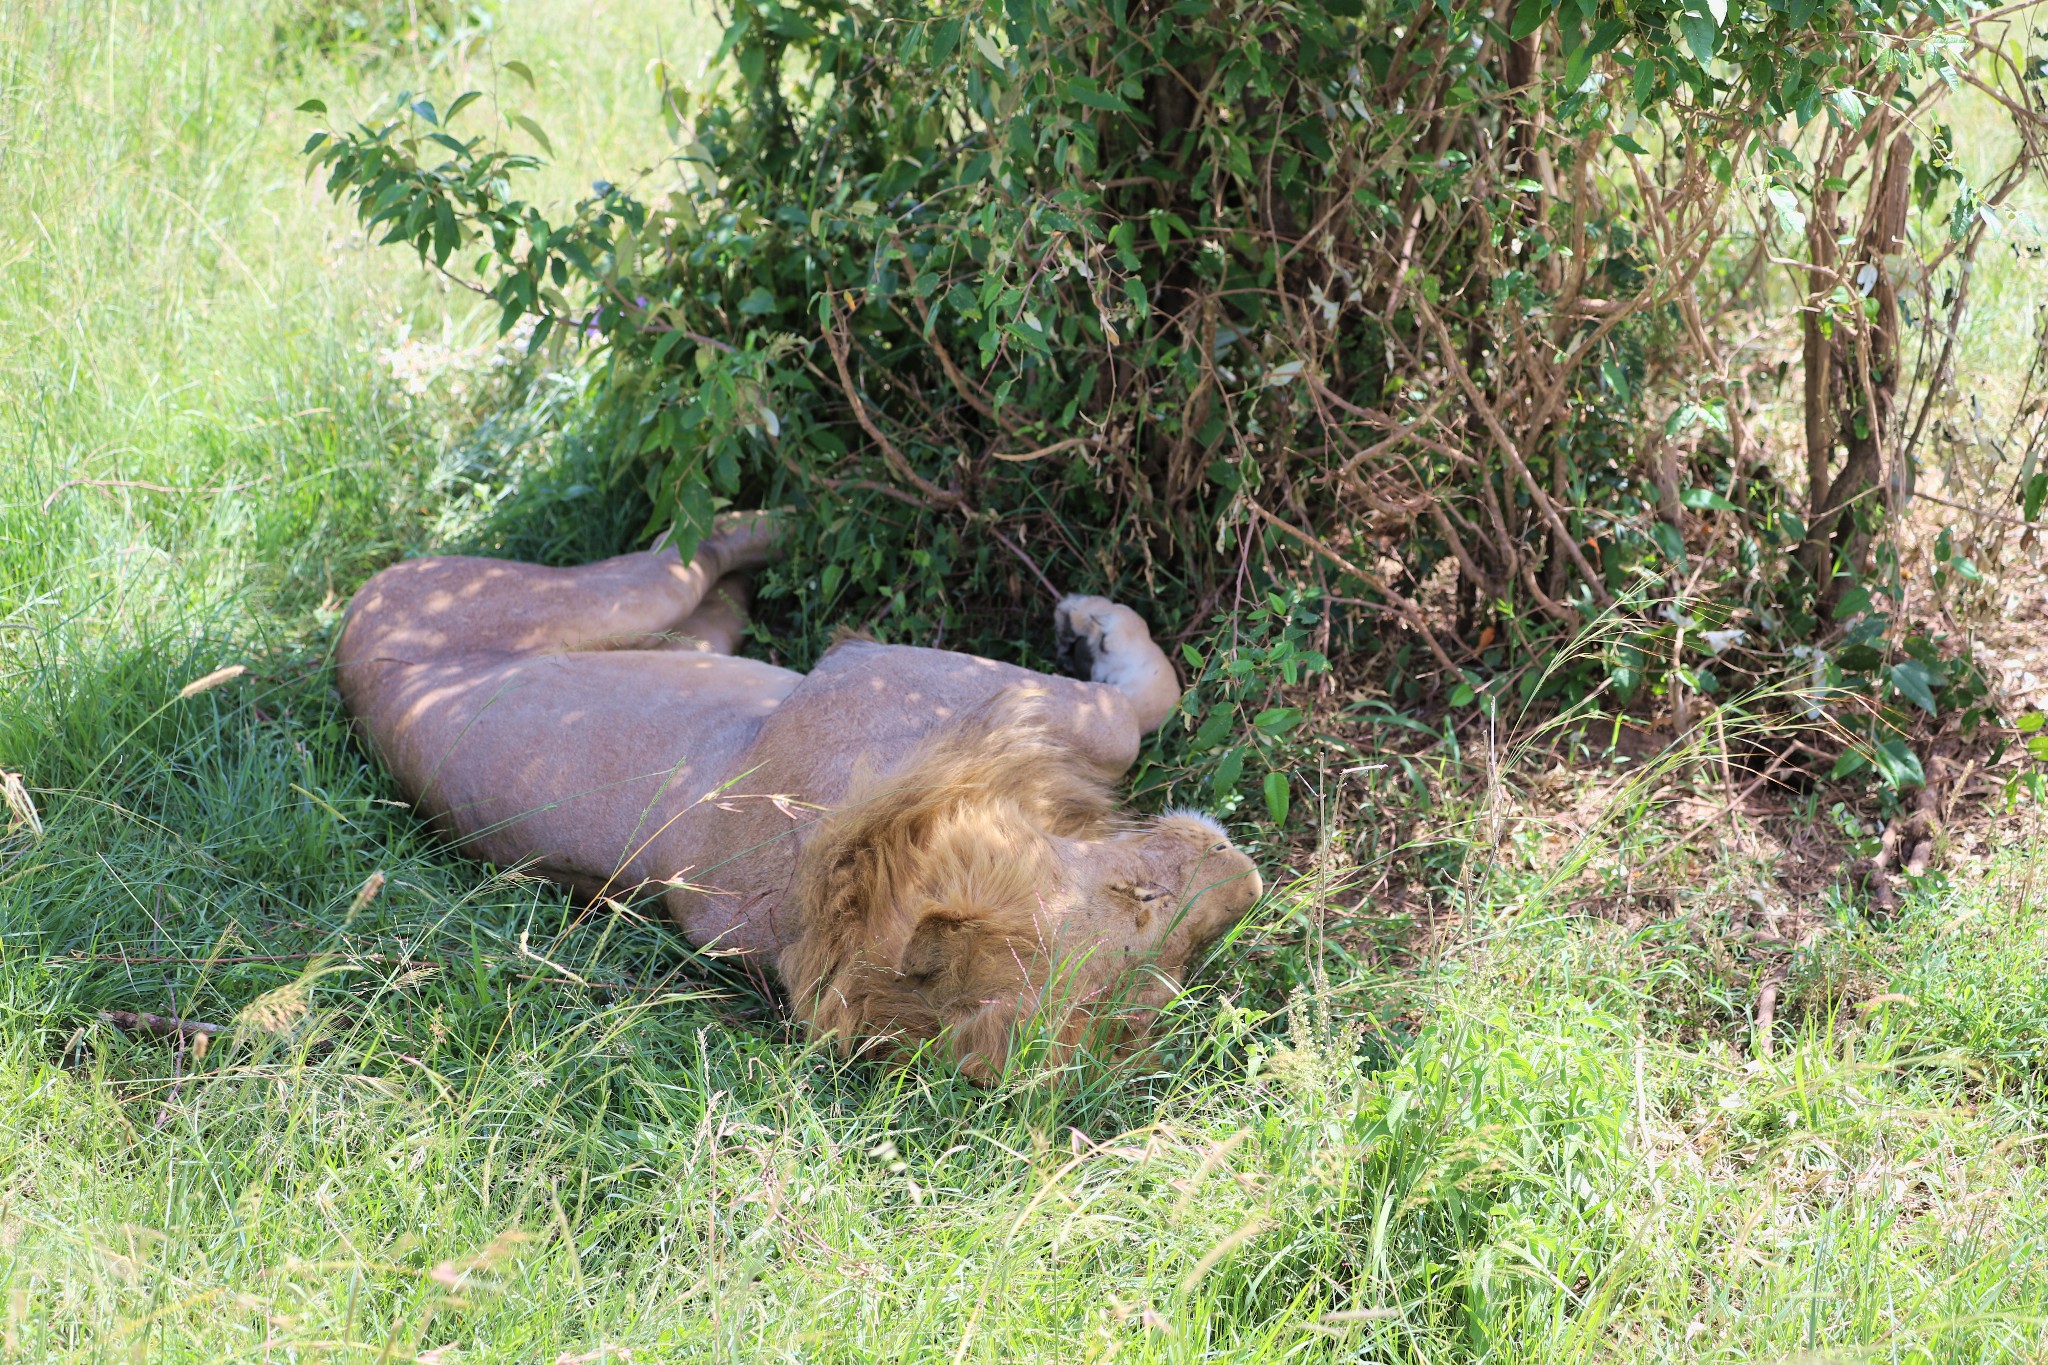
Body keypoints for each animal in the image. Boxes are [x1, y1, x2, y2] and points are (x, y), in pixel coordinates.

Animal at [331, 511, 1261, 1080]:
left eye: (1168, 983)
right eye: (1139, 896)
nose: (1248, 883)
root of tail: (345, 642)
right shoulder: (894, 673)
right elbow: (1138, 711)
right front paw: (1096, 625)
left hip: (686, 637)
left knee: (714, 594)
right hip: (608, 591)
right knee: (696, 535)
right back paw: (795, 508)